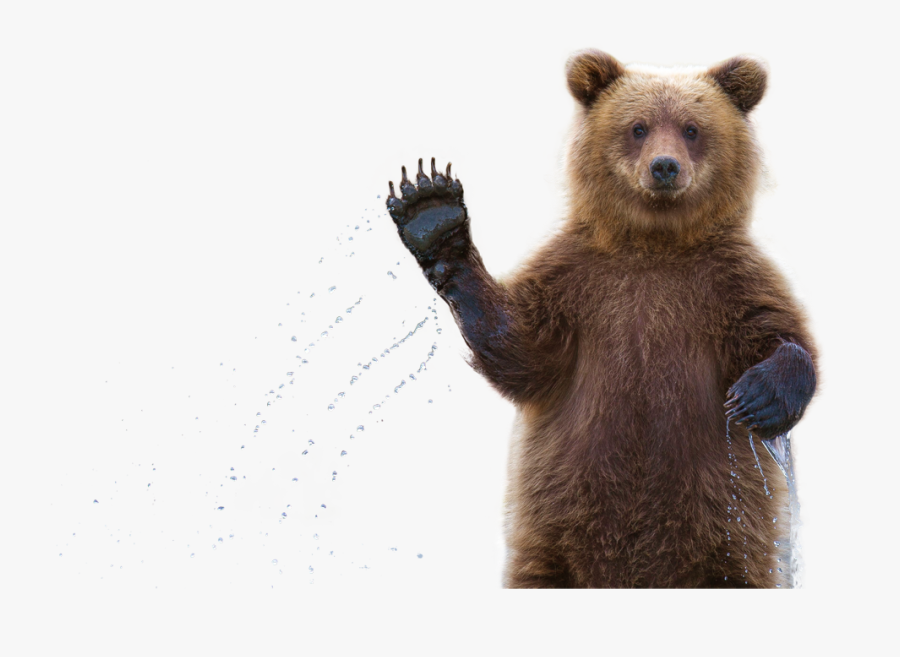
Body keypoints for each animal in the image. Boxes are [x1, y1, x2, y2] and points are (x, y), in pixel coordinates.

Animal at [384, 50, 817, 588]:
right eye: (638, 126)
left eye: (692, 128)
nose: (665, 166)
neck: (654, 243)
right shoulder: (578, 282)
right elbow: (522, 348)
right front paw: (432, 213)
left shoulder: (727, 282)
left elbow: (778, 333)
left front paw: (758, 396)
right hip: (552, 539)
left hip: (731, 536)